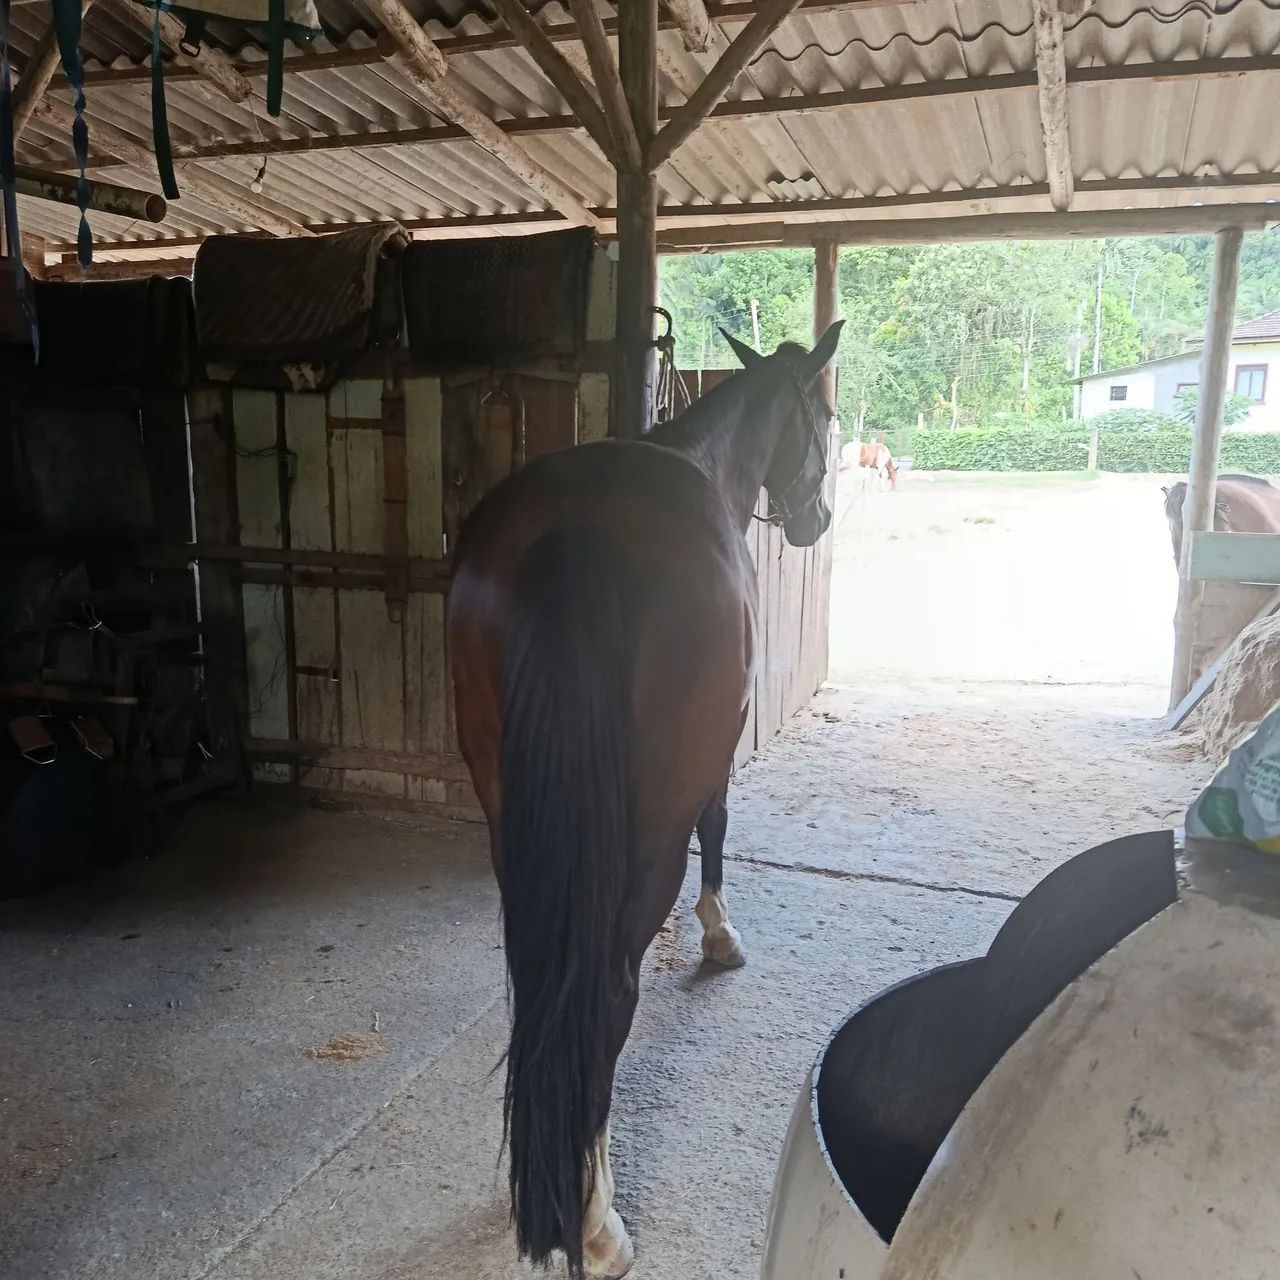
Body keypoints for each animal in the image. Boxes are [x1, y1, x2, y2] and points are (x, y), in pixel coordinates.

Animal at [447, 321, 842, 1278]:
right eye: (824, 418)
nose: (816, 520)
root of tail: (575, 540)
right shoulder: (720, 751)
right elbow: (720, 825)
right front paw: (721, 936)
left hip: (511, 825)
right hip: (646, 836)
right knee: (607, 992)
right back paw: (595, 1220)